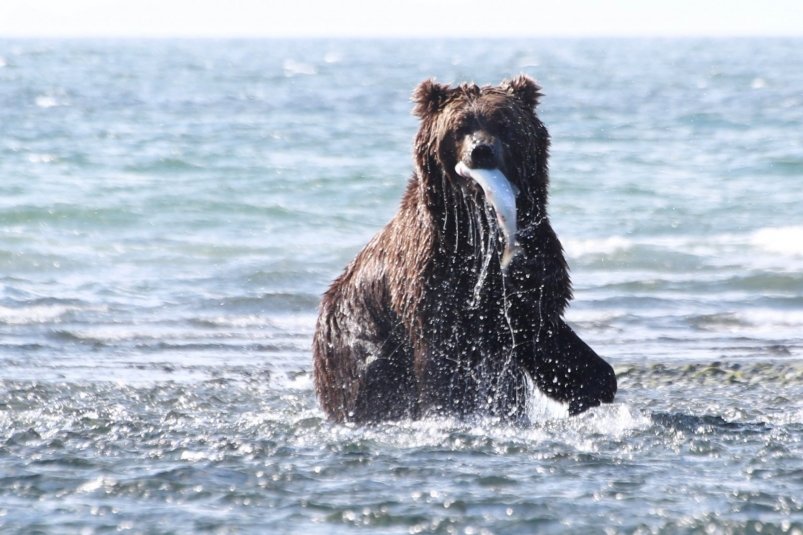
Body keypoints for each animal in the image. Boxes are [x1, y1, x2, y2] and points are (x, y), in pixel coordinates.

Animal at [312, 74, 616, 422]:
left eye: (503, 122)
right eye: (459, 126)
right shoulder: (434, 278)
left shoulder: (532, 269)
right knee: (372, 381)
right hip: (355, 338)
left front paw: (590, 387)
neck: (478, 228)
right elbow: (441, 360)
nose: (481, 150)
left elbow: (546, 332)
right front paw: (453, 406)